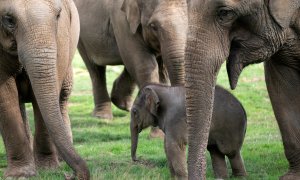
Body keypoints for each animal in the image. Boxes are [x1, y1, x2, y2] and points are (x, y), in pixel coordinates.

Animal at [0, 0, 89, 179]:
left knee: (63, 96)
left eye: (58, 15)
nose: (71, 175)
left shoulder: (61, 36)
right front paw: (20, 174)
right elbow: (5, 93)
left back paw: (60, 160)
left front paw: (48, 170)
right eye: (9, 19)